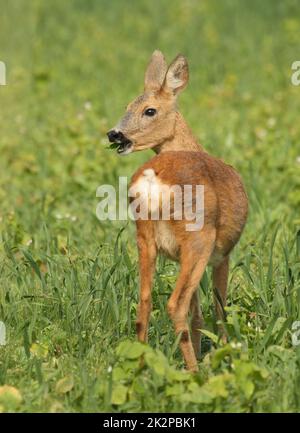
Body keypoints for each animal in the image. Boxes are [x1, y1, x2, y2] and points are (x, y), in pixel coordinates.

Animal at [106, 49, 247, 370]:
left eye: (148, 110)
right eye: (128, 106)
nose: (114, 134)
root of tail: (152, 179)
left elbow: (198, 316)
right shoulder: (223, 254)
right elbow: (218, 309)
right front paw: (223, 354)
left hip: (145, 238)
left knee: (145, 300)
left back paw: (142, 365)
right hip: (199, 238)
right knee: (175, 304)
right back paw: (195, 372)